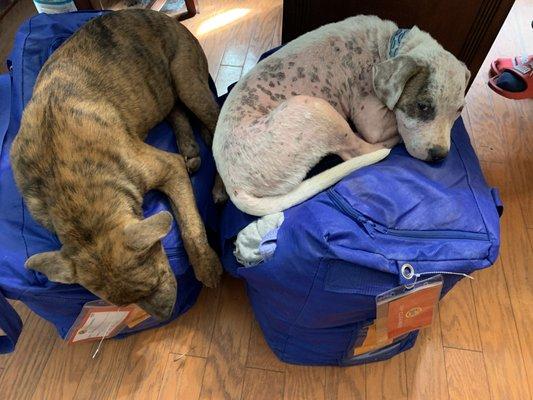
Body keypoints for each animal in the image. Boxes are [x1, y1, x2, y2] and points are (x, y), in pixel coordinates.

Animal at [10, 9, 222, 320]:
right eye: (123, 303)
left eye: (155, 281)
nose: (166, 317)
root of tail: (168, 19)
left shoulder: (169, 168)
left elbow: (190, 226)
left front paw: (207, 267)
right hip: (164, 90)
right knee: (176, 110)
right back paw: (190, 148)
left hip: (187, 80)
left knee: (217, 126)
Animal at [212, 14, 470, 216]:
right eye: (423, 106)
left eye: (459, 110)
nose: (439, 155)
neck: (388, 46)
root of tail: (234, 184)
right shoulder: (373, 123)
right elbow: (392, 124)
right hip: (317, 108)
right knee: (356, 151)